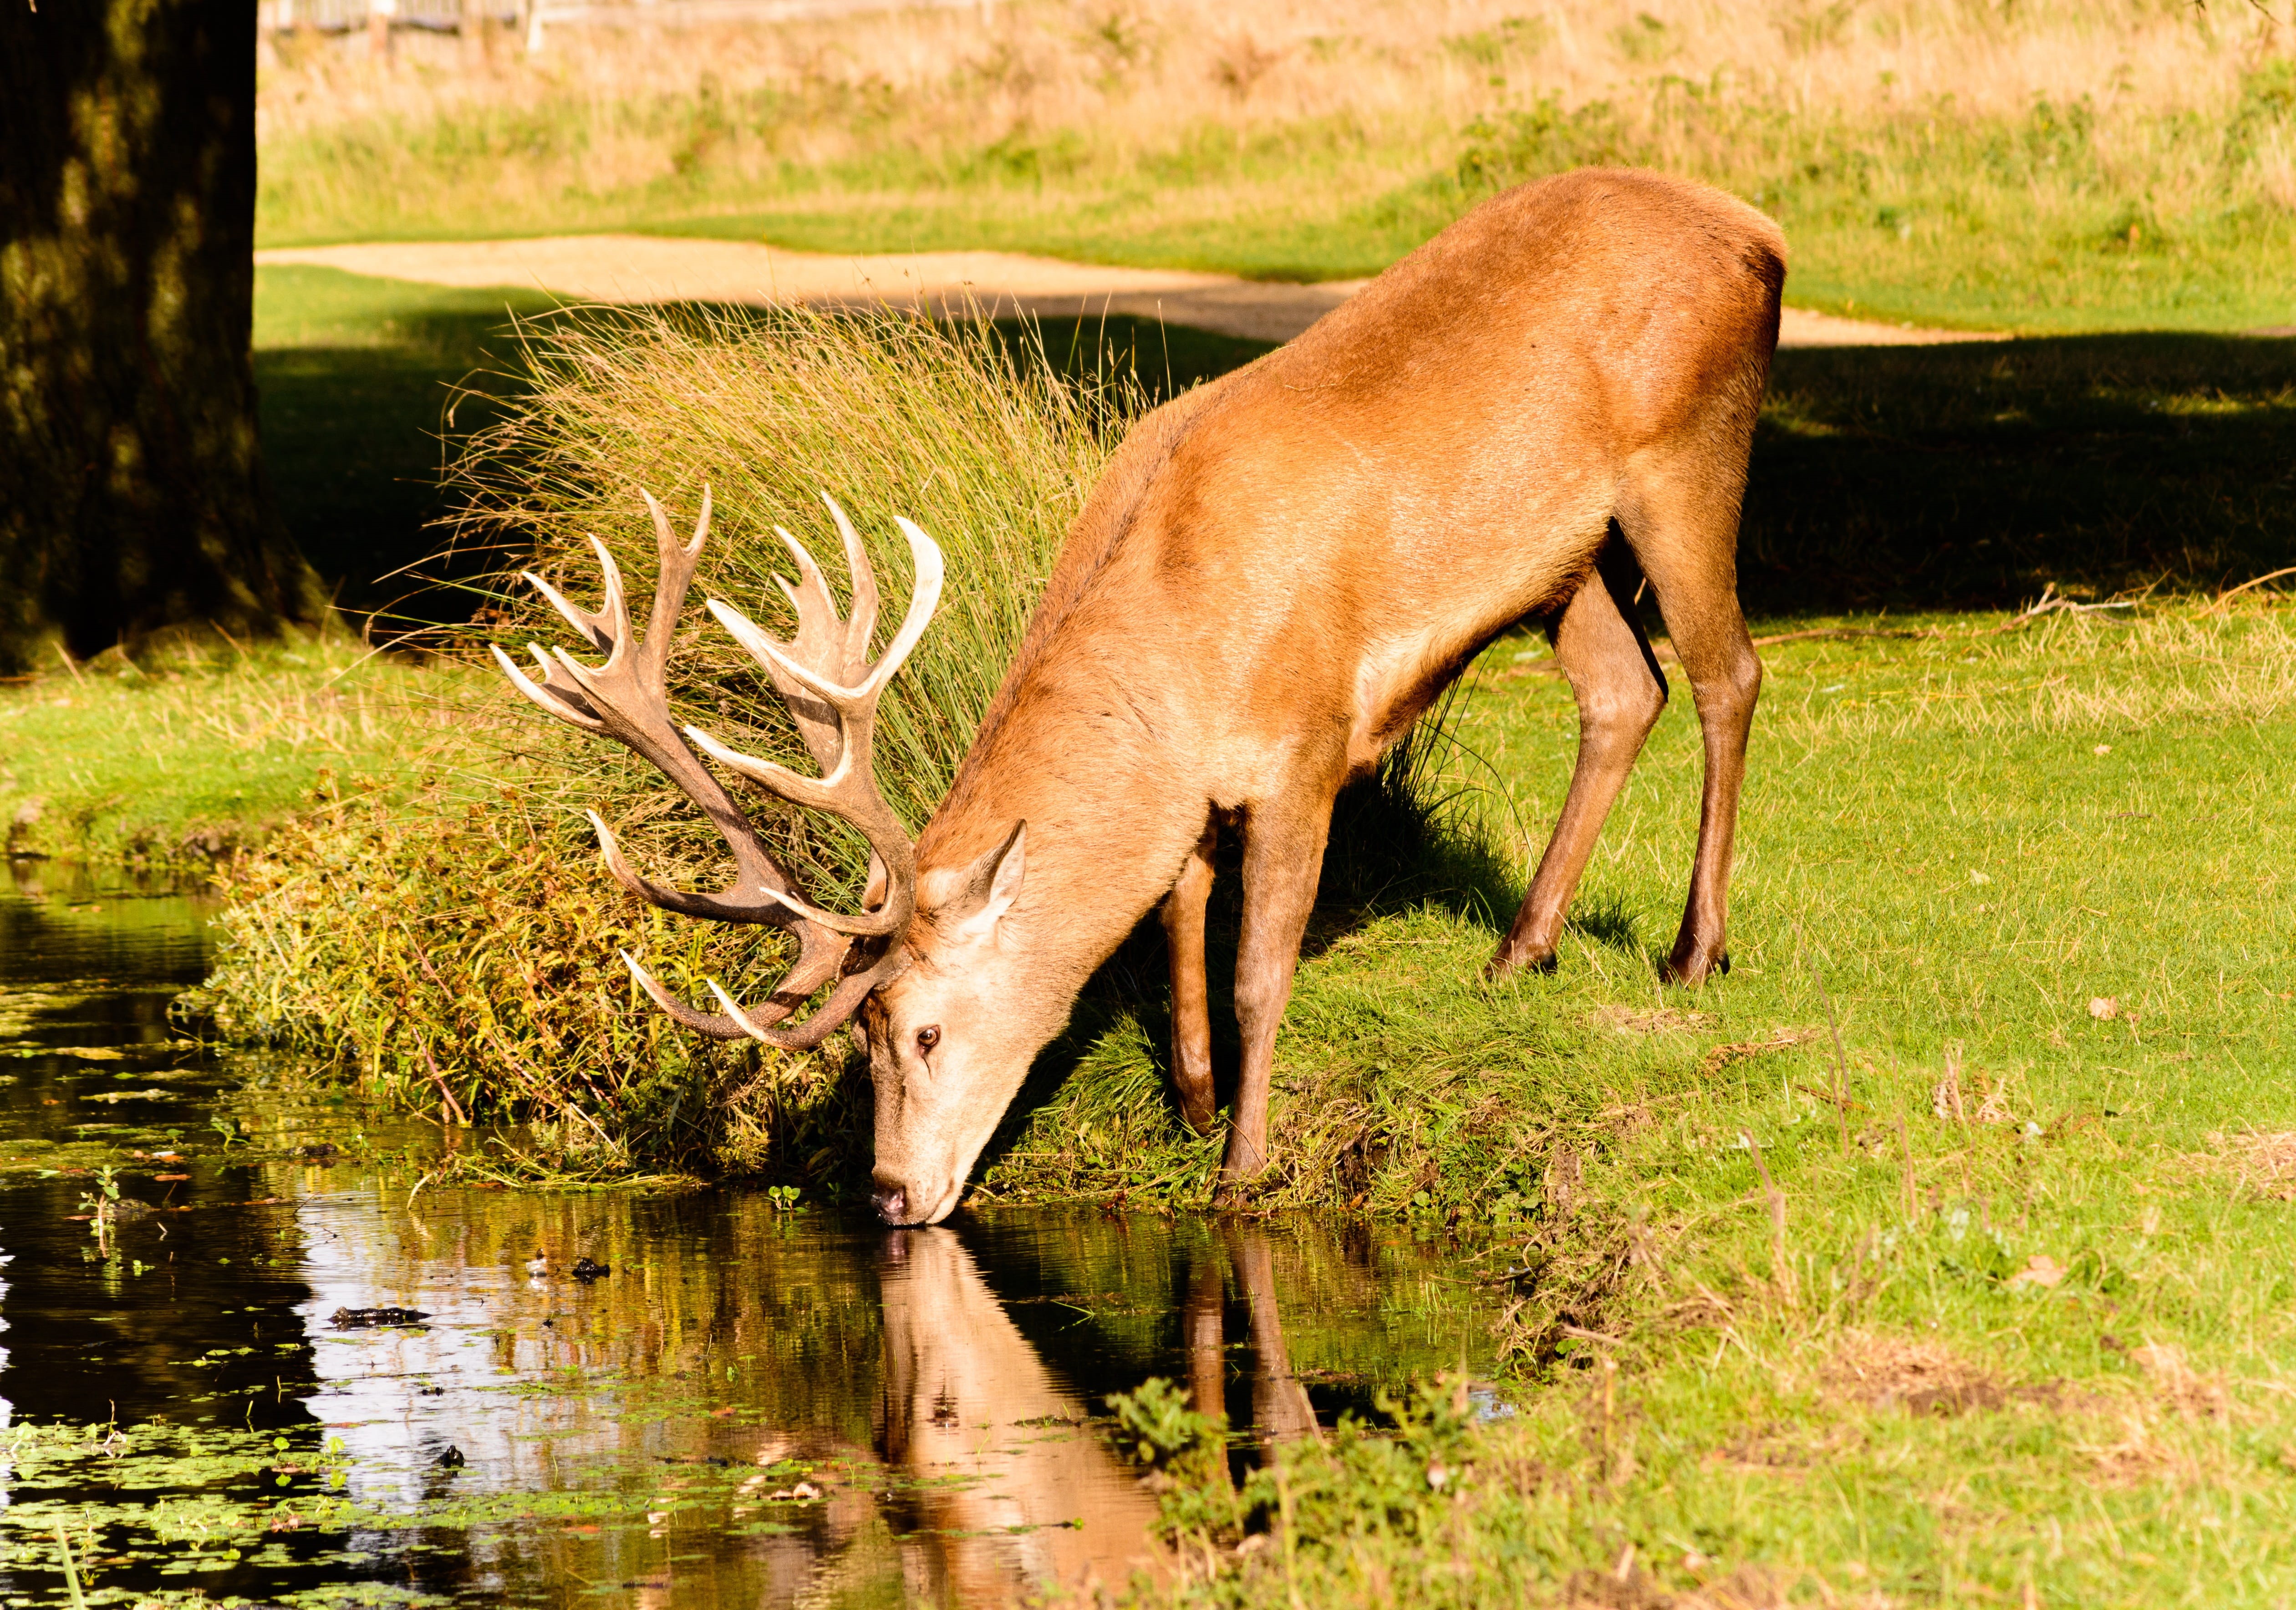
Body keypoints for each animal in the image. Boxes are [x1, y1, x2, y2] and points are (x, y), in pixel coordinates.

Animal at [496, 168, 1786, 1226]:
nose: (888, 1194)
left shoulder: (1306, 743)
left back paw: (1693, 952)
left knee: (1727, 674)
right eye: (857, 1031)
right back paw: (1519, 952)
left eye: (921, 1025)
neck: (1183, 651)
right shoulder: (1194, 795)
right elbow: (1178, 930)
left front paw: (1241, 1168)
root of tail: (1759, 234)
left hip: (1688, 454)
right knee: (1623, 691)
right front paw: (1197, 1105)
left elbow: (1258, 968)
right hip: (1563, 557)